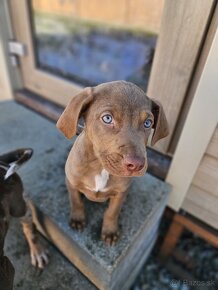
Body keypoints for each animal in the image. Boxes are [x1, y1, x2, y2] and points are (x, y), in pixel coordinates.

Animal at [56, 81, 169, 245]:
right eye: (107, 118)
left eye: (148, 123)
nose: (136, 165)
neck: (101, 167)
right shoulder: (72, 182)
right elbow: (76, 201)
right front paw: (77, 219)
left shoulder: (120, 193)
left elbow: (112, 212)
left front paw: (109, 231)